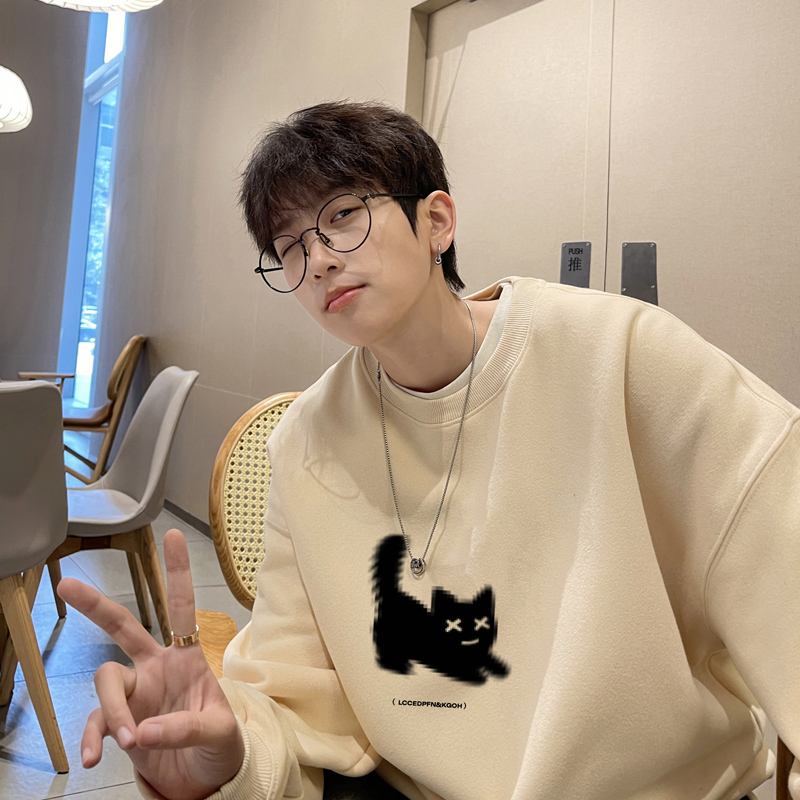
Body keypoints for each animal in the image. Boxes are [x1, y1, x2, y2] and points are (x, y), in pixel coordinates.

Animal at [372, 535, 509, 685]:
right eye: (453, 624)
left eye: (480, 622)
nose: (470, 636)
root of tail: (393, 592)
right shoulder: (442, 661)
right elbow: (462, 671)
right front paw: (478, 676)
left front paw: (500, 666)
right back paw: (401, 667)